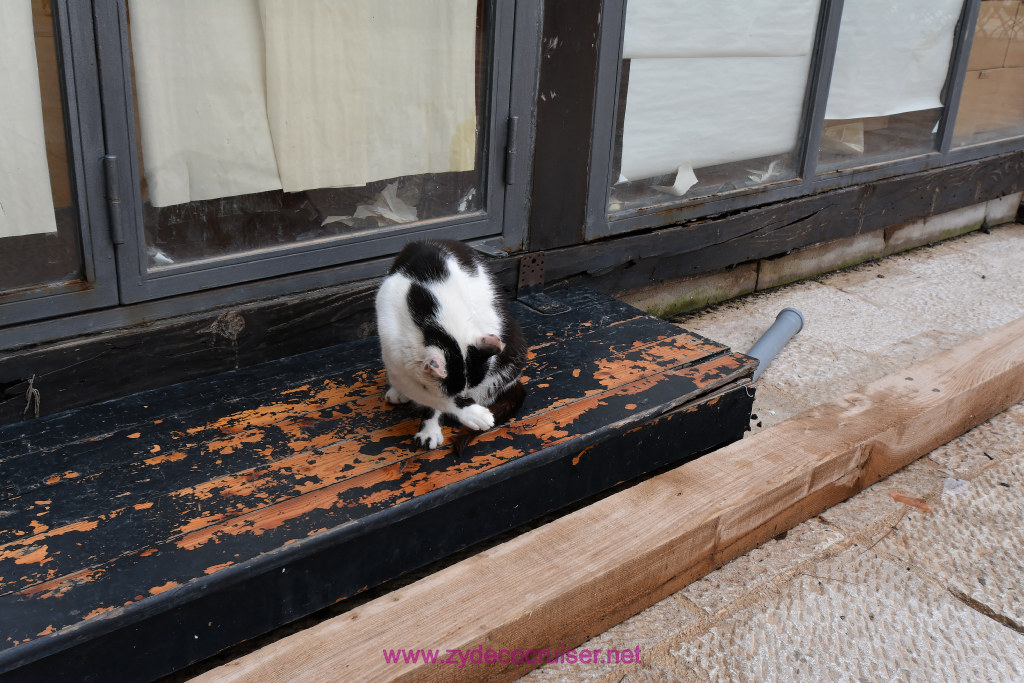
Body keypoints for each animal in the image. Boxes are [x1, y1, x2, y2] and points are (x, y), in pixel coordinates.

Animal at [374, 241, 528, 454]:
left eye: (468, 389)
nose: (465, 397)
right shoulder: (395, 356)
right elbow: (431, 396)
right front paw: (469, 413)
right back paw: (397, 393)